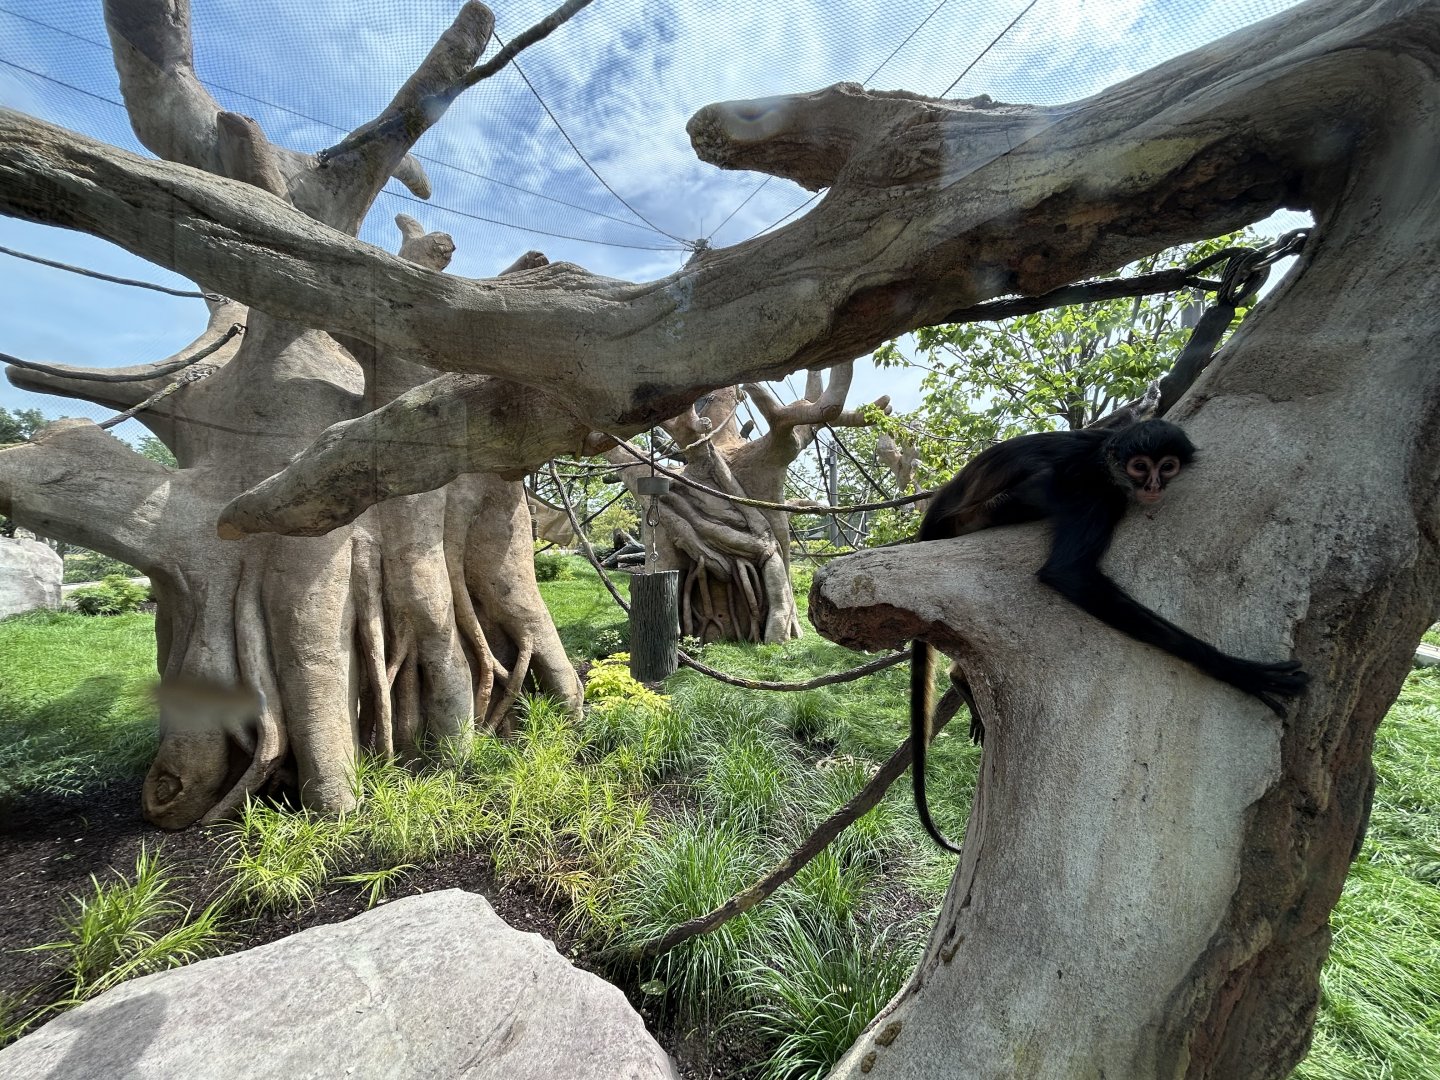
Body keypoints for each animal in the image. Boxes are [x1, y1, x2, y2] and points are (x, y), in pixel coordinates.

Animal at [910, 419, 1309, 854]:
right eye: (1140, 467)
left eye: (1167, 466)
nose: (1153, 485)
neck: (1103, 456)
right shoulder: (1095, 491)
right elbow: (1068, 573)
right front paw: (1239, 671)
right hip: (974, 516)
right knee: (1038, 486)